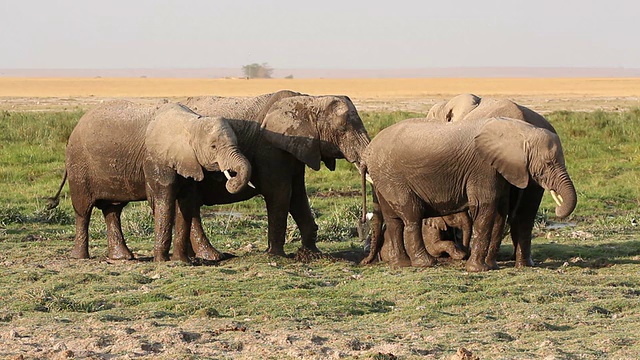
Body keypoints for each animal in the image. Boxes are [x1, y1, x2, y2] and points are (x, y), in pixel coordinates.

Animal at [162, 89, 372, 258]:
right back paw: (213, 256)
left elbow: (297, 196)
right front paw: (275, 255)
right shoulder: (270, 147)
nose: (363, 228)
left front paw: (311, 253)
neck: (309, 100)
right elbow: (280, 193)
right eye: (343, 129)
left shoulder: (298, 148)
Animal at [362, 116, 576, 272]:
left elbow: (500, 211)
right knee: (411, 215)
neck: (518, 131)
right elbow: (485, 208)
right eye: (548, 163)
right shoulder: (483, 168)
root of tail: (368, 152)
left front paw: (491, 266)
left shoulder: (499, 170)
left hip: (383, 177)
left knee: (393, 220)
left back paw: (401, 264)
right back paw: (426, 263)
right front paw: (478, 269)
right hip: (392, 177)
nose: (558, 208)